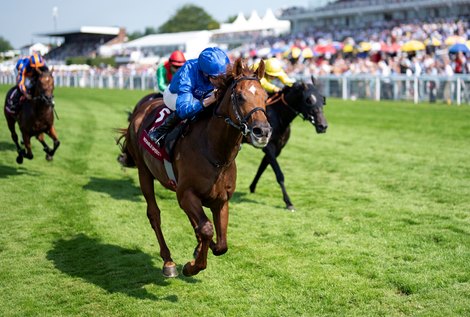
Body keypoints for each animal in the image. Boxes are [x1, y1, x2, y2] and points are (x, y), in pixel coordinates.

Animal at [117, 58, 272, 276]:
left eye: (265, 97)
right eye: (240, 96)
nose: (262, 132)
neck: (214, 151)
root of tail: (142, 108)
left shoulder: (221, 200)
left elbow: (221, 244)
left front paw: (203, 249)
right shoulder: (186, 193)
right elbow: (206, 229)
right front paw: (192, 267)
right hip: (144, 171)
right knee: (154, 214)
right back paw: (168, 262)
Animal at [248, 77, 328, 210]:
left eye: (323, 100)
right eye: (309, 100)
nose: (323, 126)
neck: (278, 116)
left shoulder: (278, 148)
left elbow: (262, 167)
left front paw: (252, 187)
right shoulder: (269, 147)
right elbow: (279, 174)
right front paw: (288, 202)